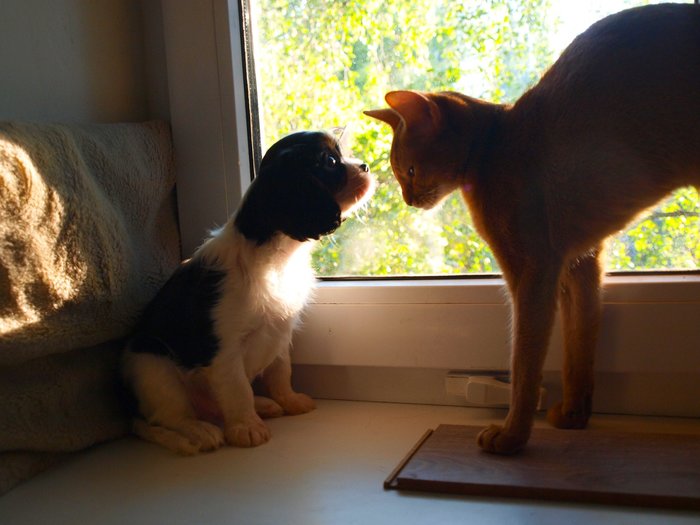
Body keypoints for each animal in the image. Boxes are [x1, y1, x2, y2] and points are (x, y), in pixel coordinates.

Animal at [121, 132, 372, 454]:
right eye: (329, 161)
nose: (365, 166)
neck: (277, 255)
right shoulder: (224, 348)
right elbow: (238, 389)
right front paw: (246, 428)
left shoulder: (279, 331)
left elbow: (281, 372)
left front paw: (289, 401)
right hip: (153, 368)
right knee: (171, 416)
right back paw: (201, 431)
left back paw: (263, 405)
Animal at [364, 4, 700, 452]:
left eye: (410, 172)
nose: (407, 200)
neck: (492, 146)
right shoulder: (582, 265)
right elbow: (578, 347)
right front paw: (574, 416)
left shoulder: (533, 269)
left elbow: (524, 361)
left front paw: (511, 437)